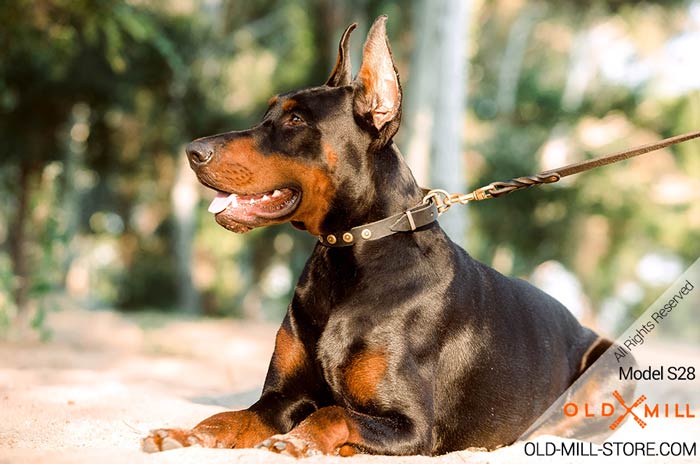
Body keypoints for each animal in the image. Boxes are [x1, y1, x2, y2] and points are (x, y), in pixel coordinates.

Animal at [144, 15, 612, 456]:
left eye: (296, 119)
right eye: (268, 114)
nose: (193, 151)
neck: (352, 253)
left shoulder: (414, 426)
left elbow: (333, 412)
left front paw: (298, 441)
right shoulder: (281, 397)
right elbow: (229, 417)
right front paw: (184, 434)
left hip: (608, 357)